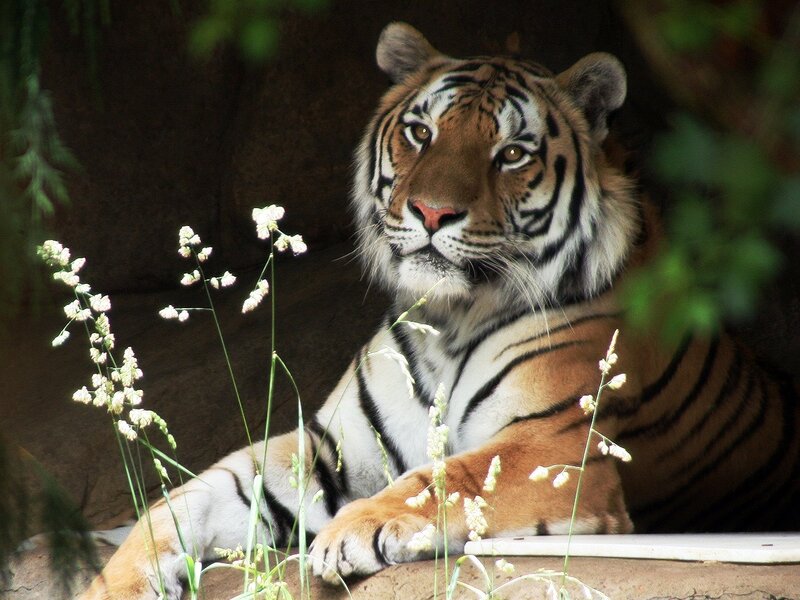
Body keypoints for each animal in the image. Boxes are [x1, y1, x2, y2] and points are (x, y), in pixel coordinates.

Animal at [81, 22, 800, 599]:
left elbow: (446, 475)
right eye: (420, 133)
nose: (430, 213)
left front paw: (352, 531)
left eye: (512, 153)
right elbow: (185, 499)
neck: (451, 321)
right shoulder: (330, 449)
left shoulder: (556, 447)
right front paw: (115, 582)